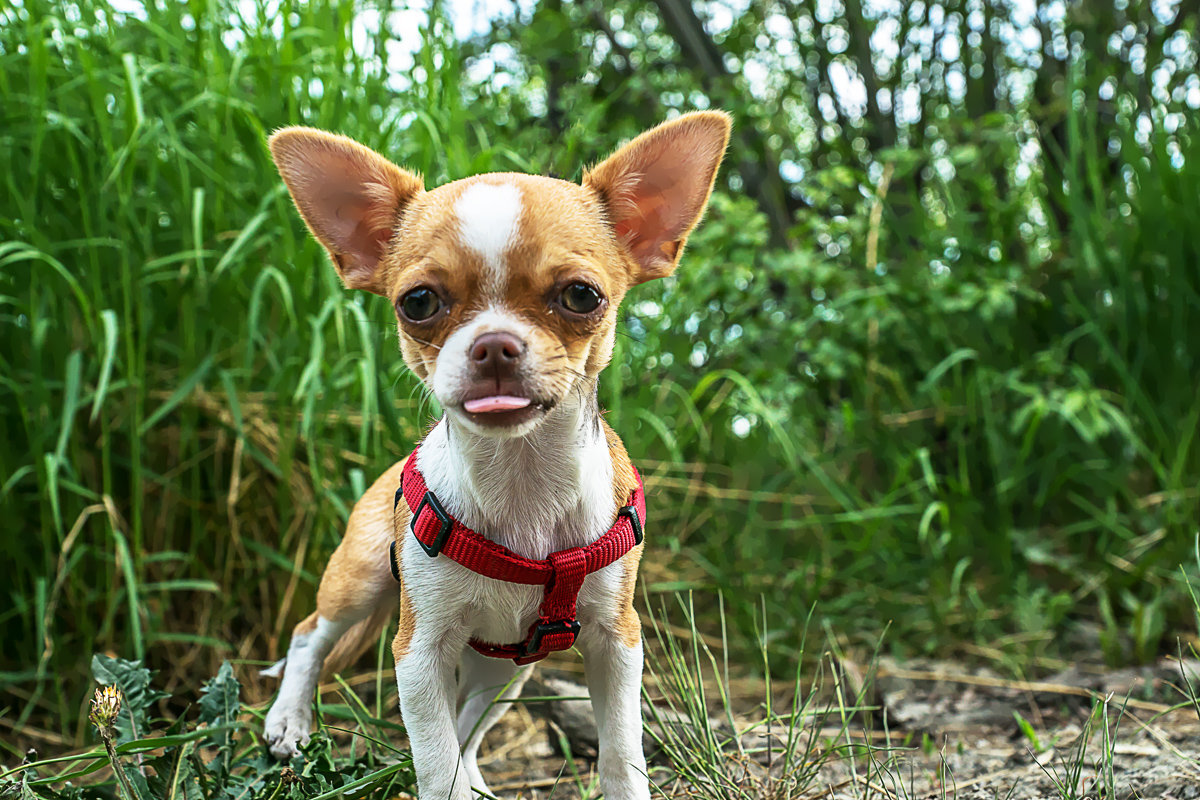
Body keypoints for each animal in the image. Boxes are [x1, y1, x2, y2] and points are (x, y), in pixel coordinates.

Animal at [264, 112, 729, 800]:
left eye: (582, 296)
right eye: (418, 302)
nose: (494, 345)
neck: (522, 484)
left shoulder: (616, 642)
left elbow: (622, 751)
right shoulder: (419, 651)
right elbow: (435, 763)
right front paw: (444, 783)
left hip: (508, 670)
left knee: (470, 723)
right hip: (360, 577)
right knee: (307, 639)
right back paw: (288, 721)